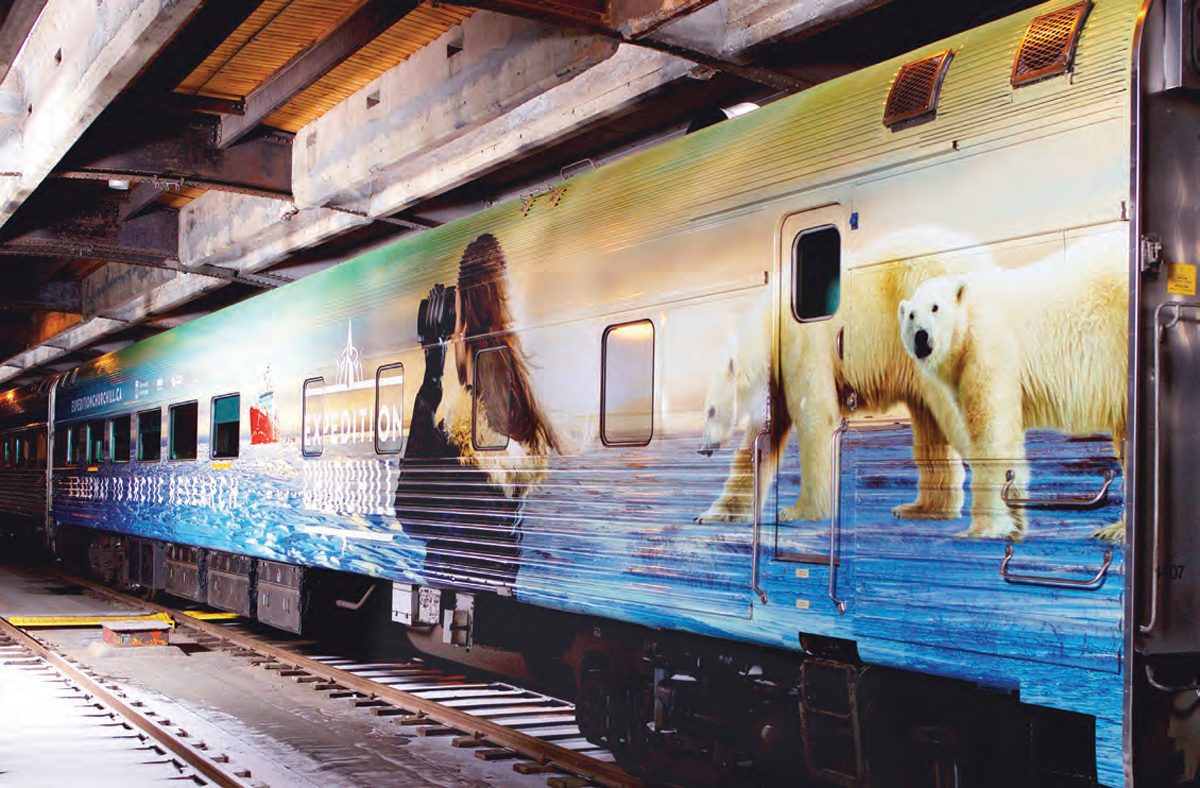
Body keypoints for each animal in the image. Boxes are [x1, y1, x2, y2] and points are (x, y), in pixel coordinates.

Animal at [696, 227, 984, 522]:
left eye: (710, 411)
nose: (704, 449)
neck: (771, 324)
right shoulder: (778, 379)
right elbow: (762, 437)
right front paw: (715, 513)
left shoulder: (802, 344)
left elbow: (814, 415)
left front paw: (798, 511)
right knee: (930, 423)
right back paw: (922, 508)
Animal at [902, 230, 1123, 542]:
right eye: (911, 315)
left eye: (935, 307)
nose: (921, 337)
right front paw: (1016, 524)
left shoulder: (987, 346)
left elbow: (991, 432)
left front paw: (982, 529)